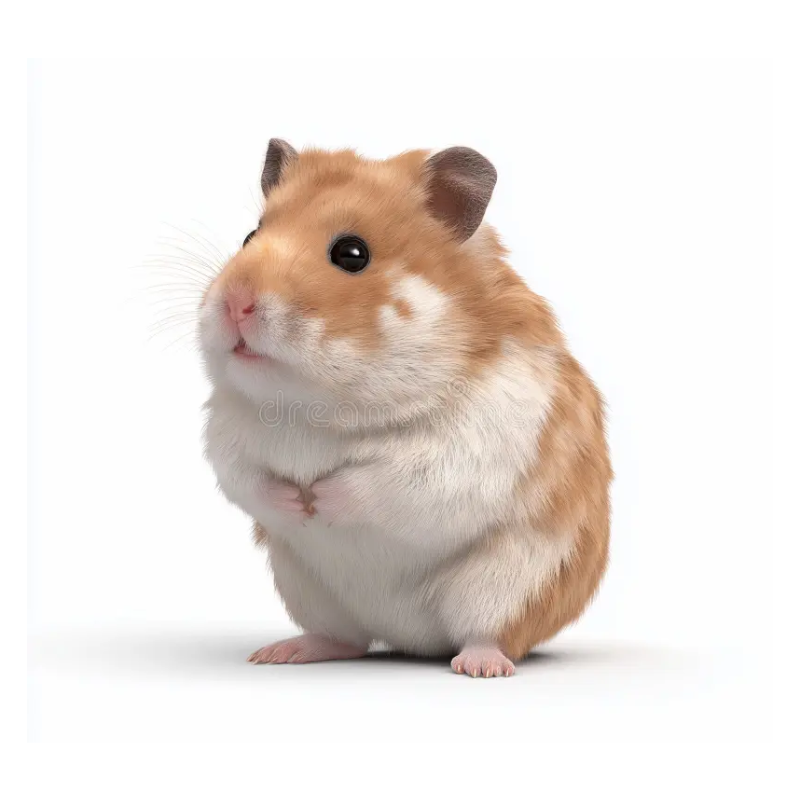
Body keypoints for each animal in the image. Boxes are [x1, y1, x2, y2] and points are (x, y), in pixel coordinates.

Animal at [198, 139, 612, 677]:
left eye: (352, 253)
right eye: (249, 236)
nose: (234, 303)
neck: (318, 406)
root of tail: (410, 640)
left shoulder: (470, 447)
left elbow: (384, 483)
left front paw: (318, 499)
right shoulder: (228, 436)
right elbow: (250, 481)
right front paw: (298, 503)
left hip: (505, 584)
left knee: (484, 633)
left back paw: (481, 666)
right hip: (308, 591)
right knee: (344, 638)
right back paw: (280, 653)